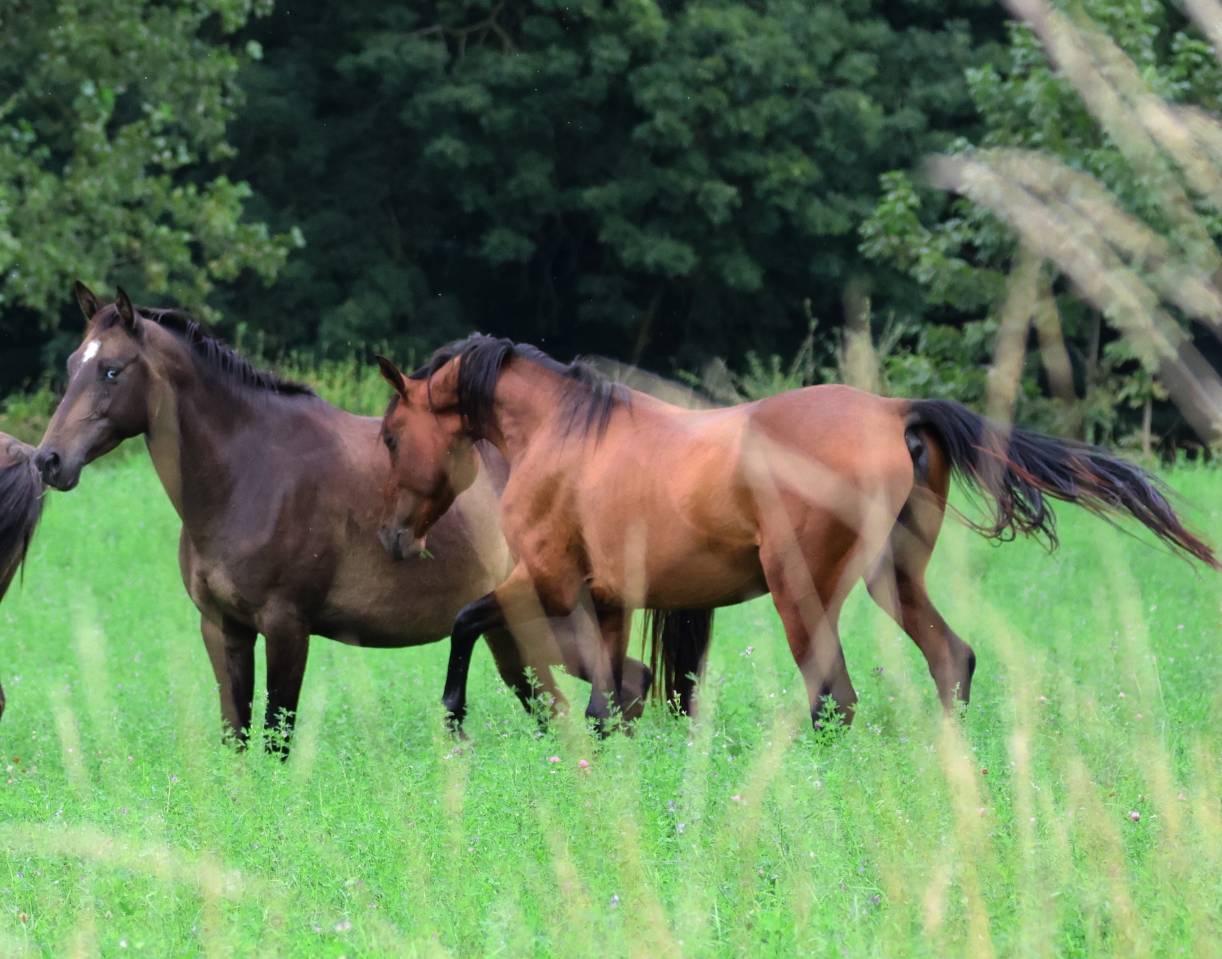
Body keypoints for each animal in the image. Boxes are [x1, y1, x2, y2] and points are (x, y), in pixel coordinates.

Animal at [33, 284, 688, 751]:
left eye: (113, 370)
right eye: (69, 365)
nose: (49, 460)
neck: (249, 475)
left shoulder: (287, 626)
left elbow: (276, 736)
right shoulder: (222, 628)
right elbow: (237, 737)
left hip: (553, 622)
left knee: (624, 686)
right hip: (514, 635)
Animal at [375, 334, 1217, 732]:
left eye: (387, 434)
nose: (389, 538)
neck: (566, 434)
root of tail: (894, 411)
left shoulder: (548, 578)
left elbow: (470, 621)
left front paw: (455, 720)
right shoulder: (610, 596)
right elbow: (611, 697)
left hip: (799, 589)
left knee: (834, 698)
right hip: (891, 578)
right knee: (950, 659)